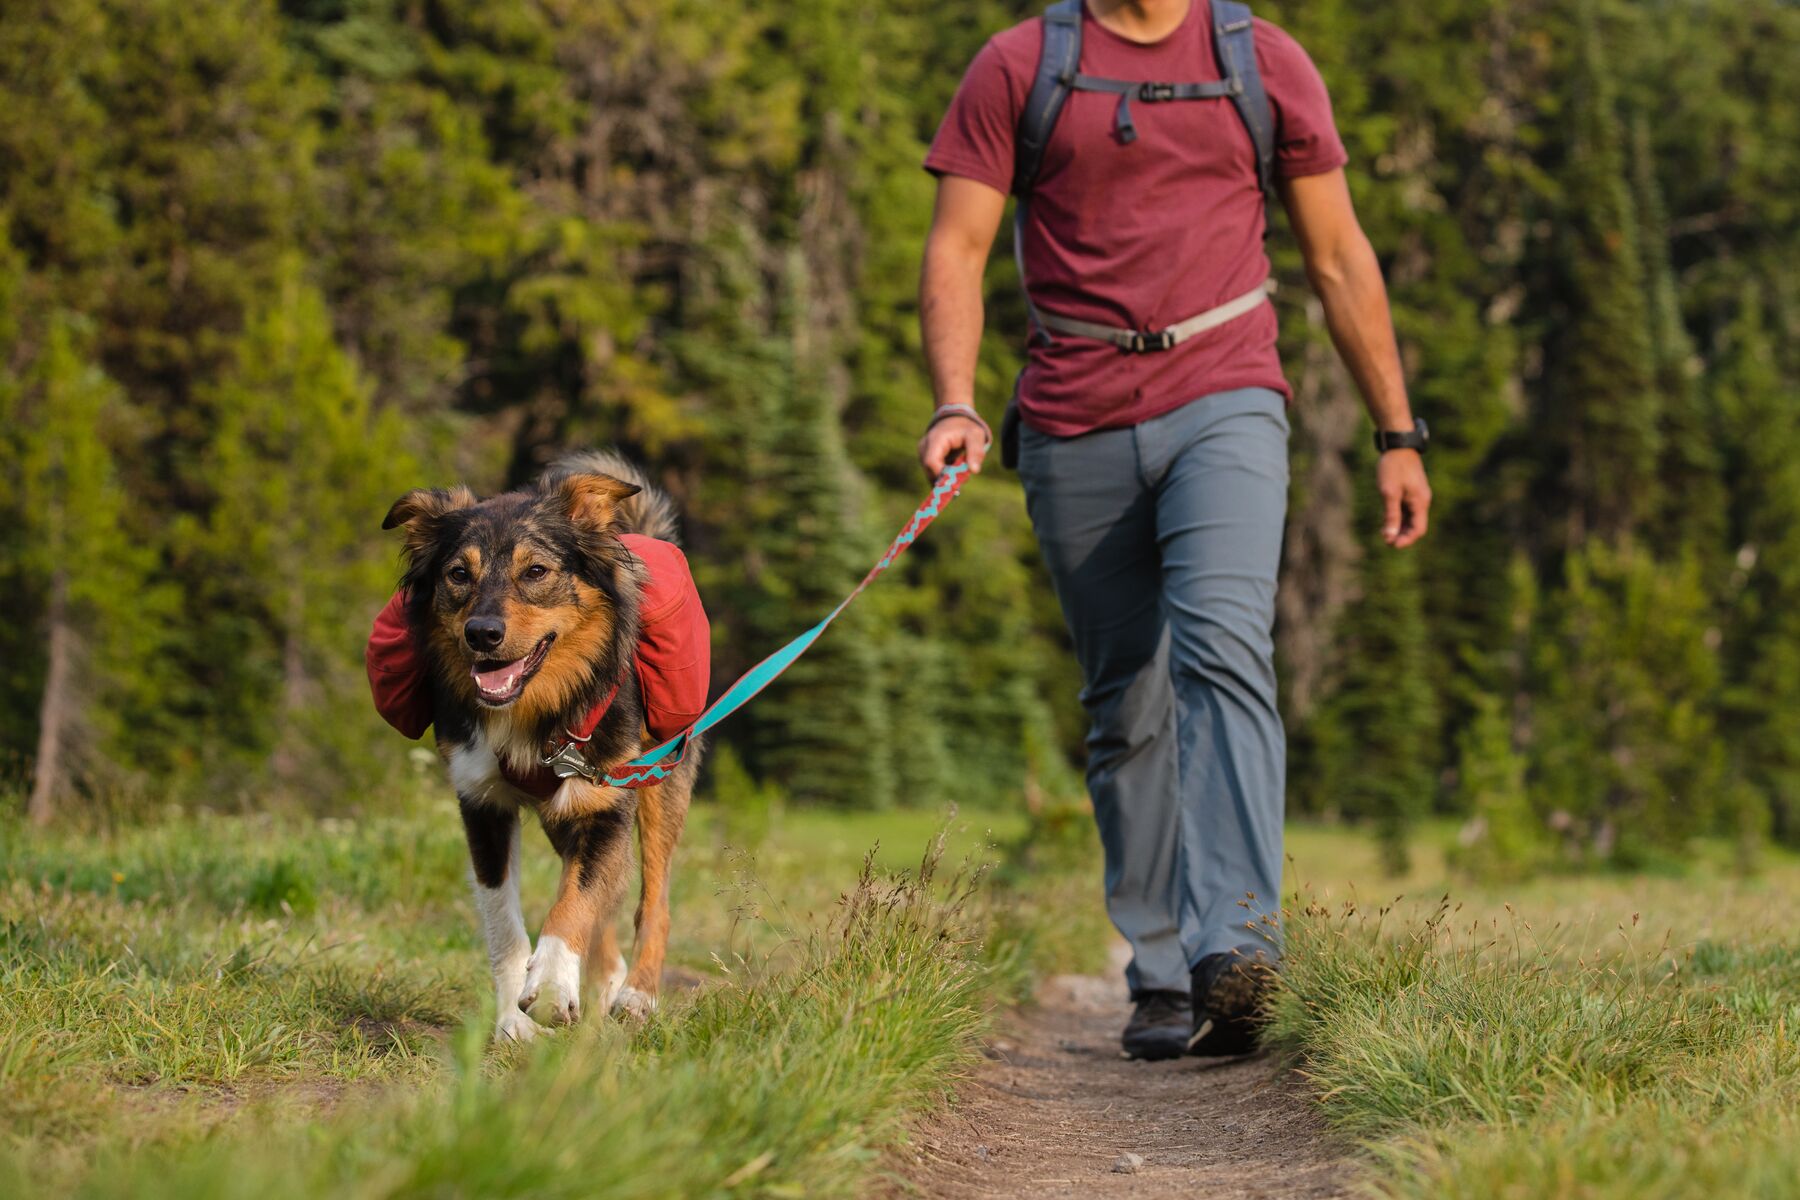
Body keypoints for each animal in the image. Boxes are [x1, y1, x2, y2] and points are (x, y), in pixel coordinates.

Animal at [379, 449, 702, 1043]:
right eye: (458, 574)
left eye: (535, 572)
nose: (482, 633)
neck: (530, 711)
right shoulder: (482, 803)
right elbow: (503, 920)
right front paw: (514, 1018)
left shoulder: (603, 800)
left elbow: (573, 902)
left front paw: (551, 986)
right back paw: (604, 984)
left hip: (660, 782)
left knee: (654, 900)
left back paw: (636, 996)